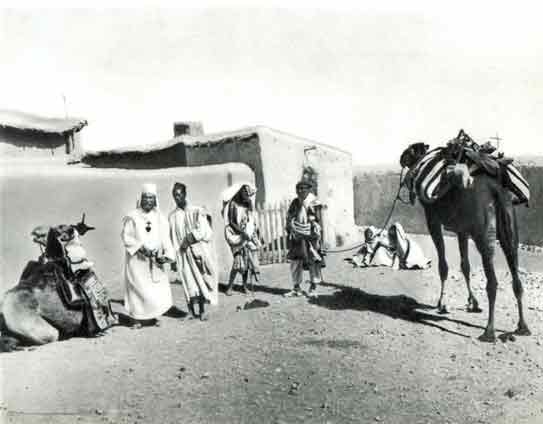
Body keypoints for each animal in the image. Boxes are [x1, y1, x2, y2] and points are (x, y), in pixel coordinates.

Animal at [400, 141, 532, 342]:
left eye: (410, 151)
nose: (401, 158)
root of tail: (496, 189)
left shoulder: (433, 220)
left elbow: (444, 266)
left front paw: (442, 303)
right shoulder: (462, 229)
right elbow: (465, 266)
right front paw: (473, 303)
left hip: (483, 232)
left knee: (492, 281)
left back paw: (489, 331)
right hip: (509, 227)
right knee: (515, 276)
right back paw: (522, 327)